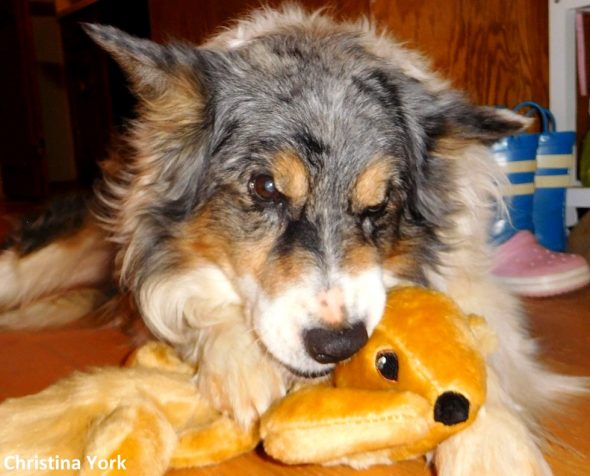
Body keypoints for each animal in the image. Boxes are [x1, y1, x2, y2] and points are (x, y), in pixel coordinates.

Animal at [0, 4, 584, 476]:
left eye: (379, 206)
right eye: (264, 187)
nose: (338, 345)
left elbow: (481, 348)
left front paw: (495, 447)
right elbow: (195, 300)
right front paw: (241, 363)